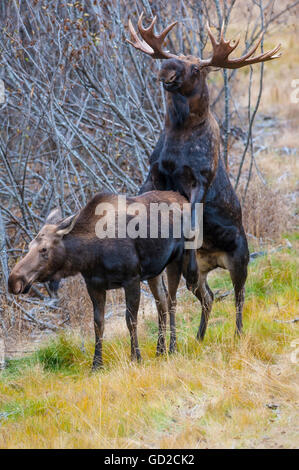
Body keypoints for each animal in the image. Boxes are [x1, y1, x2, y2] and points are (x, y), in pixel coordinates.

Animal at [8, 189, 202, 370]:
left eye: (44, 249)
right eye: (29, 246)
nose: (14, 280)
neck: (90, 255)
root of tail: (184, 200)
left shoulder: (131, 279)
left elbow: (130, 320)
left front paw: (136, 357)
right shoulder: (94, 285)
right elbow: (98, 324)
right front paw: (96, 364)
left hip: (178, 260)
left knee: (172, 301)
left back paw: (172, 347)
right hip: (155, 271)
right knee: (161, 303)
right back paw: (160, 350)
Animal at [127, 12, 282, 340]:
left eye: (196, 67)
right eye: (172, 57)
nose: (166, 69)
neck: (180, 134)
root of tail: (214, 261)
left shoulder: (200, 180)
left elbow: (192, 221)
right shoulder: (154, 172)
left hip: (240, 259)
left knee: (238, 297)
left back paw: (237, 334)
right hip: (208, 273)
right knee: (209, 296)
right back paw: (198, 336)